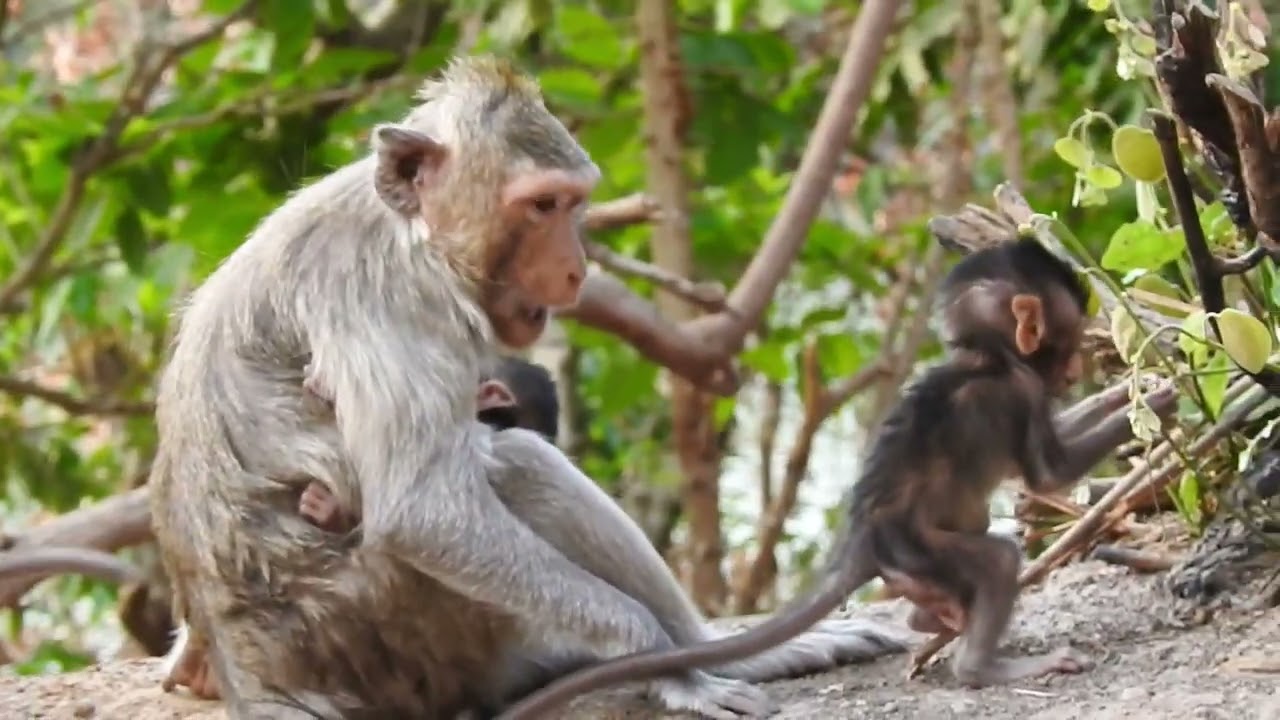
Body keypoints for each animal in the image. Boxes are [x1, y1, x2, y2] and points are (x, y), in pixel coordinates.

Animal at [148, 55, 911, 720]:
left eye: (573, 203)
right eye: (541, 205)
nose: (575, 269)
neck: (411, 226)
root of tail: (254, 676)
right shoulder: (384, 293)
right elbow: (424, 512)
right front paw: (654, 653)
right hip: (400, 639)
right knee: (515, 464)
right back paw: (684, 665)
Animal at [494, 238, 1182, 719]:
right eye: (1066, 342)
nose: (1073, 371)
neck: (987, 355)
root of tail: (862, 540)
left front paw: (1137, 386)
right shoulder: (1018, 393)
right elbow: (1049, 472)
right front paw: (1166, 395)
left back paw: (930, 624)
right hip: (919, 549)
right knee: (995, 561)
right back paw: (982, 668)